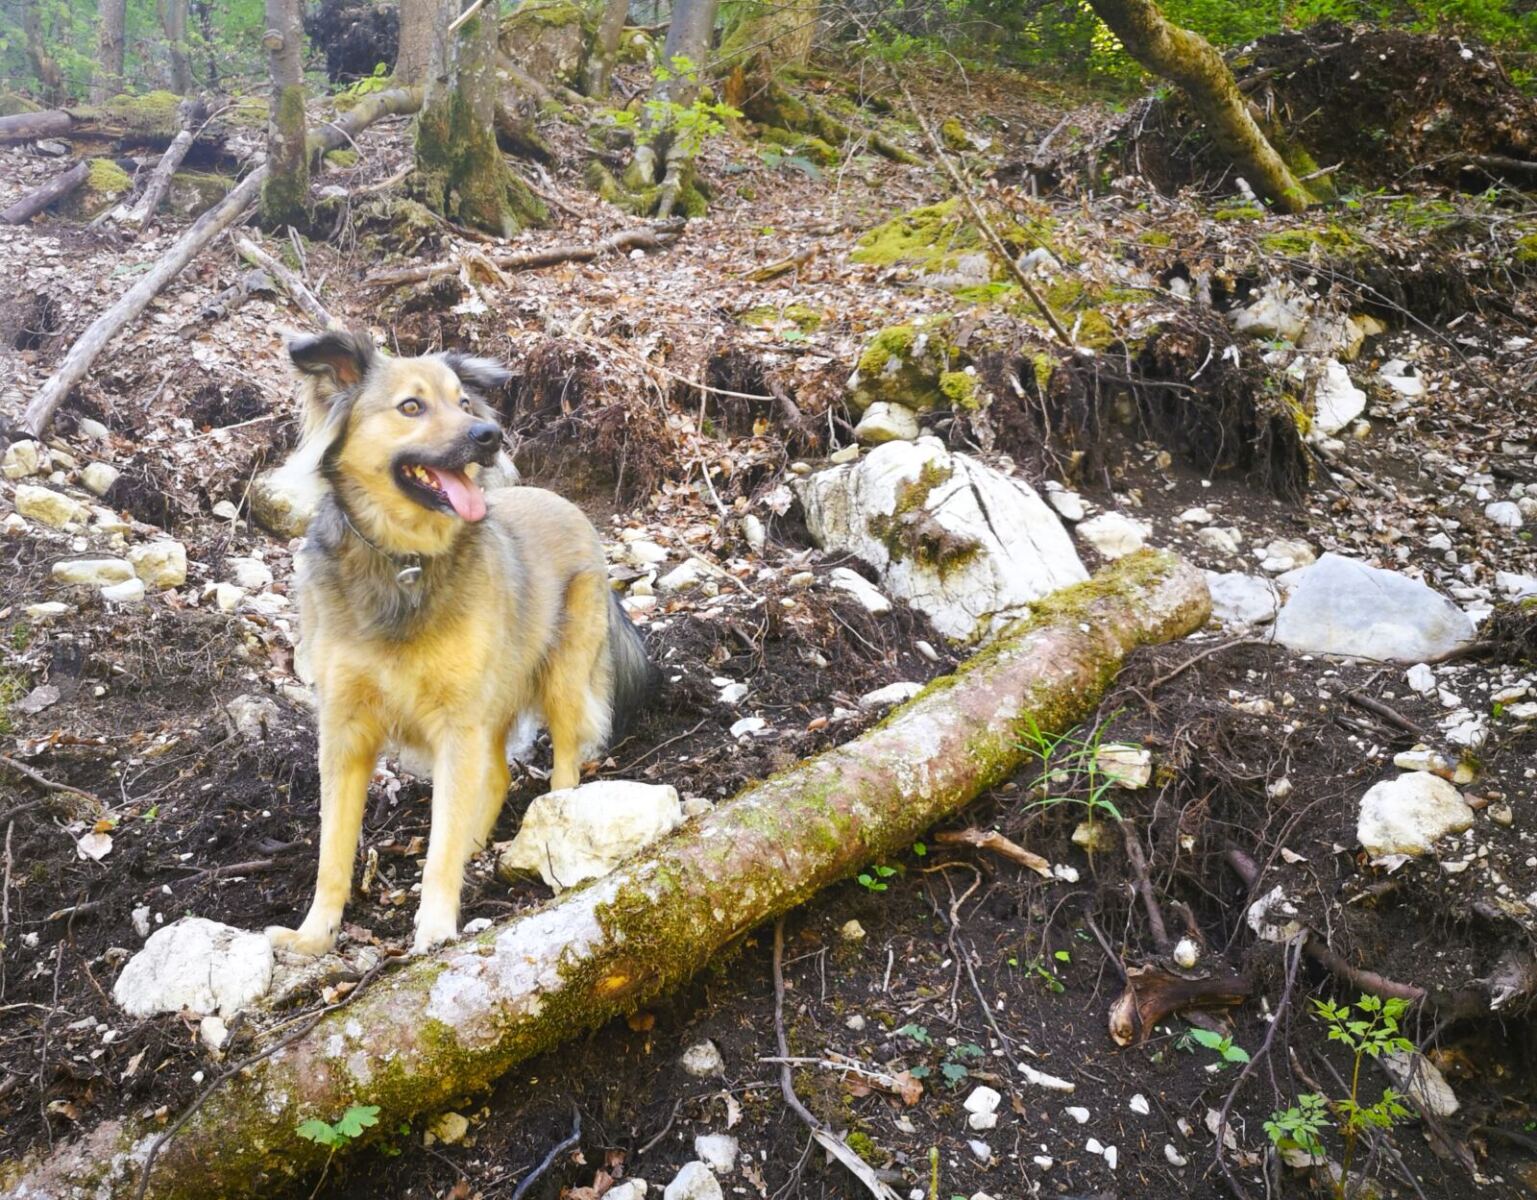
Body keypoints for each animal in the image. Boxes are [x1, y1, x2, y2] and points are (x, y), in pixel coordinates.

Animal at [265, 330, 656, 956]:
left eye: (465, 402)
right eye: (411, 406)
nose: (489, 437)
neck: (403, 562)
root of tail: (567, 503)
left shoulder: (456, 723)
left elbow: (439, 843)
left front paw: (435, 926)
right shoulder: (346, 732)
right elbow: (332, 850)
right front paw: (313, 936)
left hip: (562, 676)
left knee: (565, 763)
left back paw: (553, 823)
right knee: (494, 778)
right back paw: (476, 843)